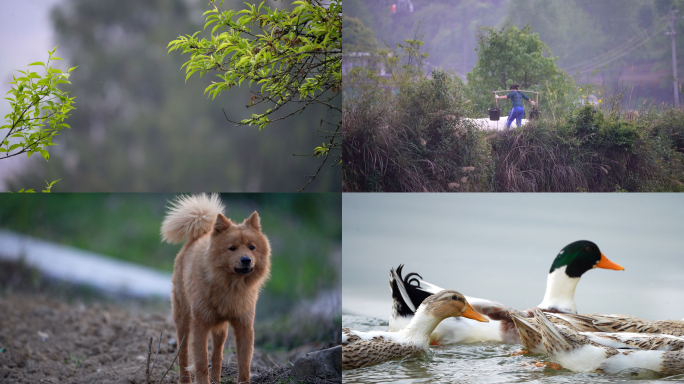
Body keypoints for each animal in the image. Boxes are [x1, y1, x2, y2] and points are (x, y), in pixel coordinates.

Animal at [162, 195, 272, 384]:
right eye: (232, 248)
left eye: (251, 247)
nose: (246, 260)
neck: (230, 287)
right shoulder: (200, 325)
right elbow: (200, 361)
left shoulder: (244, 326)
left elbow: (244, 362)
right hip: (183, 321)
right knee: (183, 355)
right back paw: (185, 380)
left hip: (220, 329)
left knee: (217, 355)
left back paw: (216, 379)